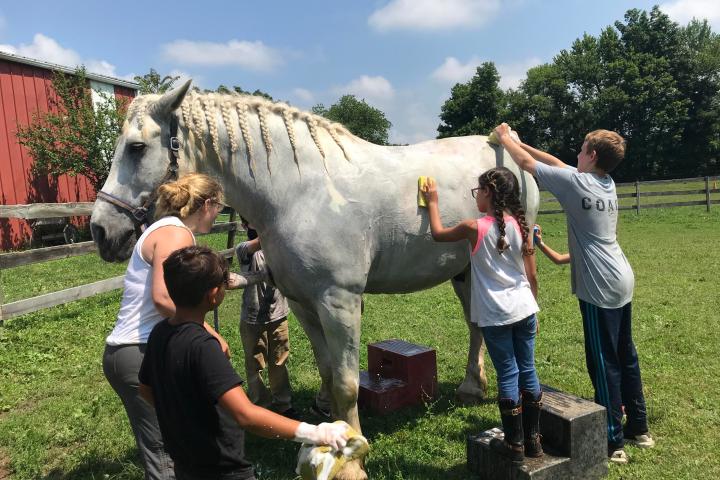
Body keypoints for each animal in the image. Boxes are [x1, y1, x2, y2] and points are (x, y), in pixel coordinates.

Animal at [90, 81, 539, 480]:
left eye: (137, 147)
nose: (100, 230)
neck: (298, 192)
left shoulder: (339, 301)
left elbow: (345, 383)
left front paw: (353, 458)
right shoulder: (304, 303)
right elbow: (327, 371)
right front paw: (331, 437)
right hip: (467, 271)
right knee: (477, 326)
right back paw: (471, 387)